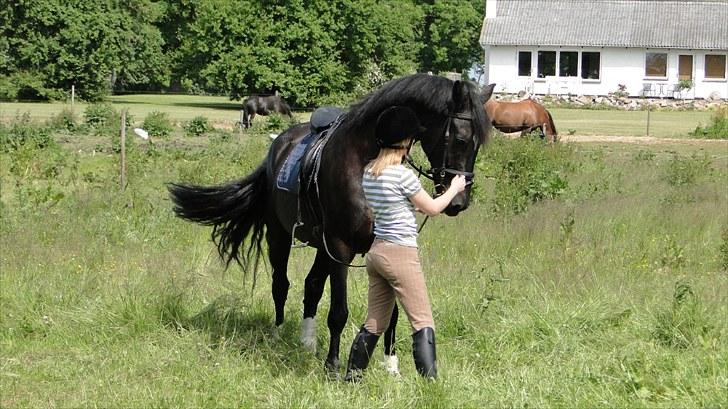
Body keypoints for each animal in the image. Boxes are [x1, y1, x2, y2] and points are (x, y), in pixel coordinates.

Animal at [168, 75, 492, 374]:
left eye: (479, 145)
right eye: (461, 139)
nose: (458, 202)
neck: (364, 161)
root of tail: (278, 146)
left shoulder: (381, 246)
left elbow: (391, 313)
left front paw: (391, 366)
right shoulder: (340, 248)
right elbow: (339, 310)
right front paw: (334, 365)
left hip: (321, 246)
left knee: (311, 285)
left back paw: (307, 342)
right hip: (280, 236)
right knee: (281, 285)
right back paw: (277, 335)